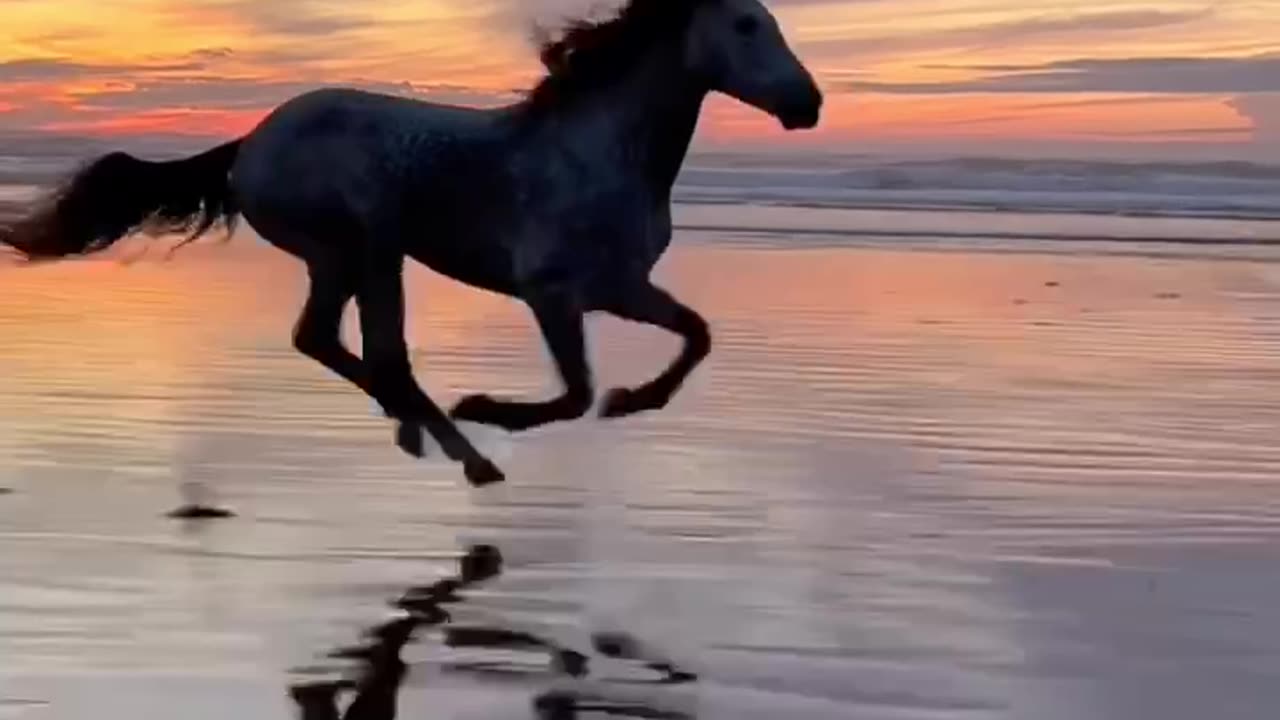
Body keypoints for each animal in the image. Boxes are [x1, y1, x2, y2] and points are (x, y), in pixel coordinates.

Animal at [0, 0, 823, 487]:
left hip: (356, 257)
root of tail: (250, 143)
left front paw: (632, 401)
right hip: (359, 247)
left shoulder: (622, 288)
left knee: (334, 342)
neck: (599, 151)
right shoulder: (552, 290)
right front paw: (495, 406)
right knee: (371, 351)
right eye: (746, 24)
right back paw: (460, 445)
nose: (808, 104)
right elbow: (575, 390)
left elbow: (696, 335)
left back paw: (427, 435)